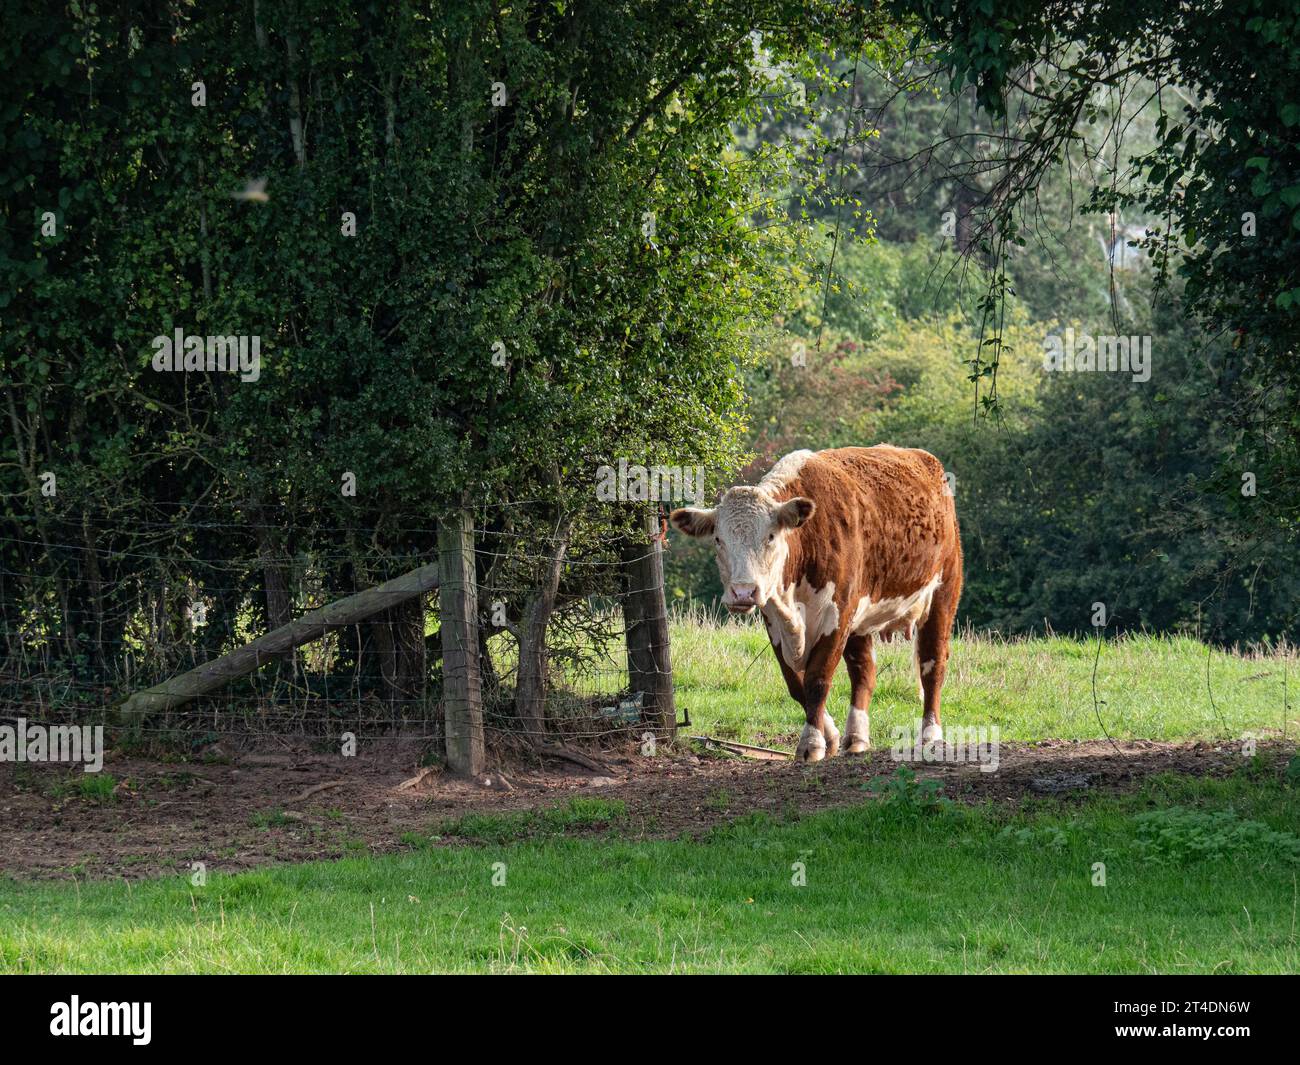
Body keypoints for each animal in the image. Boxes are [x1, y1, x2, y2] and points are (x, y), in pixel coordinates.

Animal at [676, 444, 961, 764]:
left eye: (770, 536)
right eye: (718, 539)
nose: (743, 592)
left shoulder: (837, 614)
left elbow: (817, 678)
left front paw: (811, 743)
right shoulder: (774, 619)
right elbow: (796, 684)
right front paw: (831, 737)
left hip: (943, 592)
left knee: (932, 664)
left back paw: (931, 735)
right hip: (861, 620)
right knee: (864, 671)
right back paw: (856, 738)